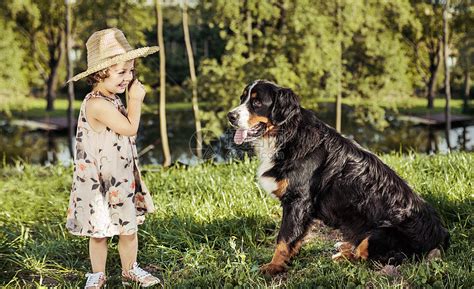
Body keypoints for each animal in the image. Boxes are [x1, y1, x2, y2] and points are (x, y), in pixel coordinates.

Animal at [228, 79, 450, 274]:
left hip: (381, 233)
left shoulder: (297, 200)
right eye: (242, 97)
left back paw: (344, 256)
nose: (230, 116)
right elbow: (294, 237)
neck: (287, 135)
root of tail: (441, 236)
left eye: (257, 102)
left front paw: (274, 266)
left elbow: (284, 238)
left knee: (367, 256)